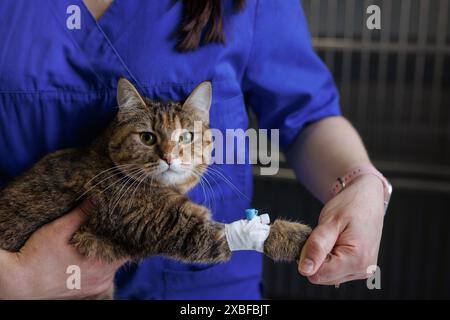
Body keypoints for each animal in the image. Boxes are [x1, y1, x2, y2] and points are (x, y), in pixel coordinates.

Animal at [0, 78, 310, 268]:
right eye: (147, 137)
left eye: (186, 136)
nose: (169, 156)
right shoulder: (172, 226)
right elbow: (237, 235)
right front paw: (298, 237)